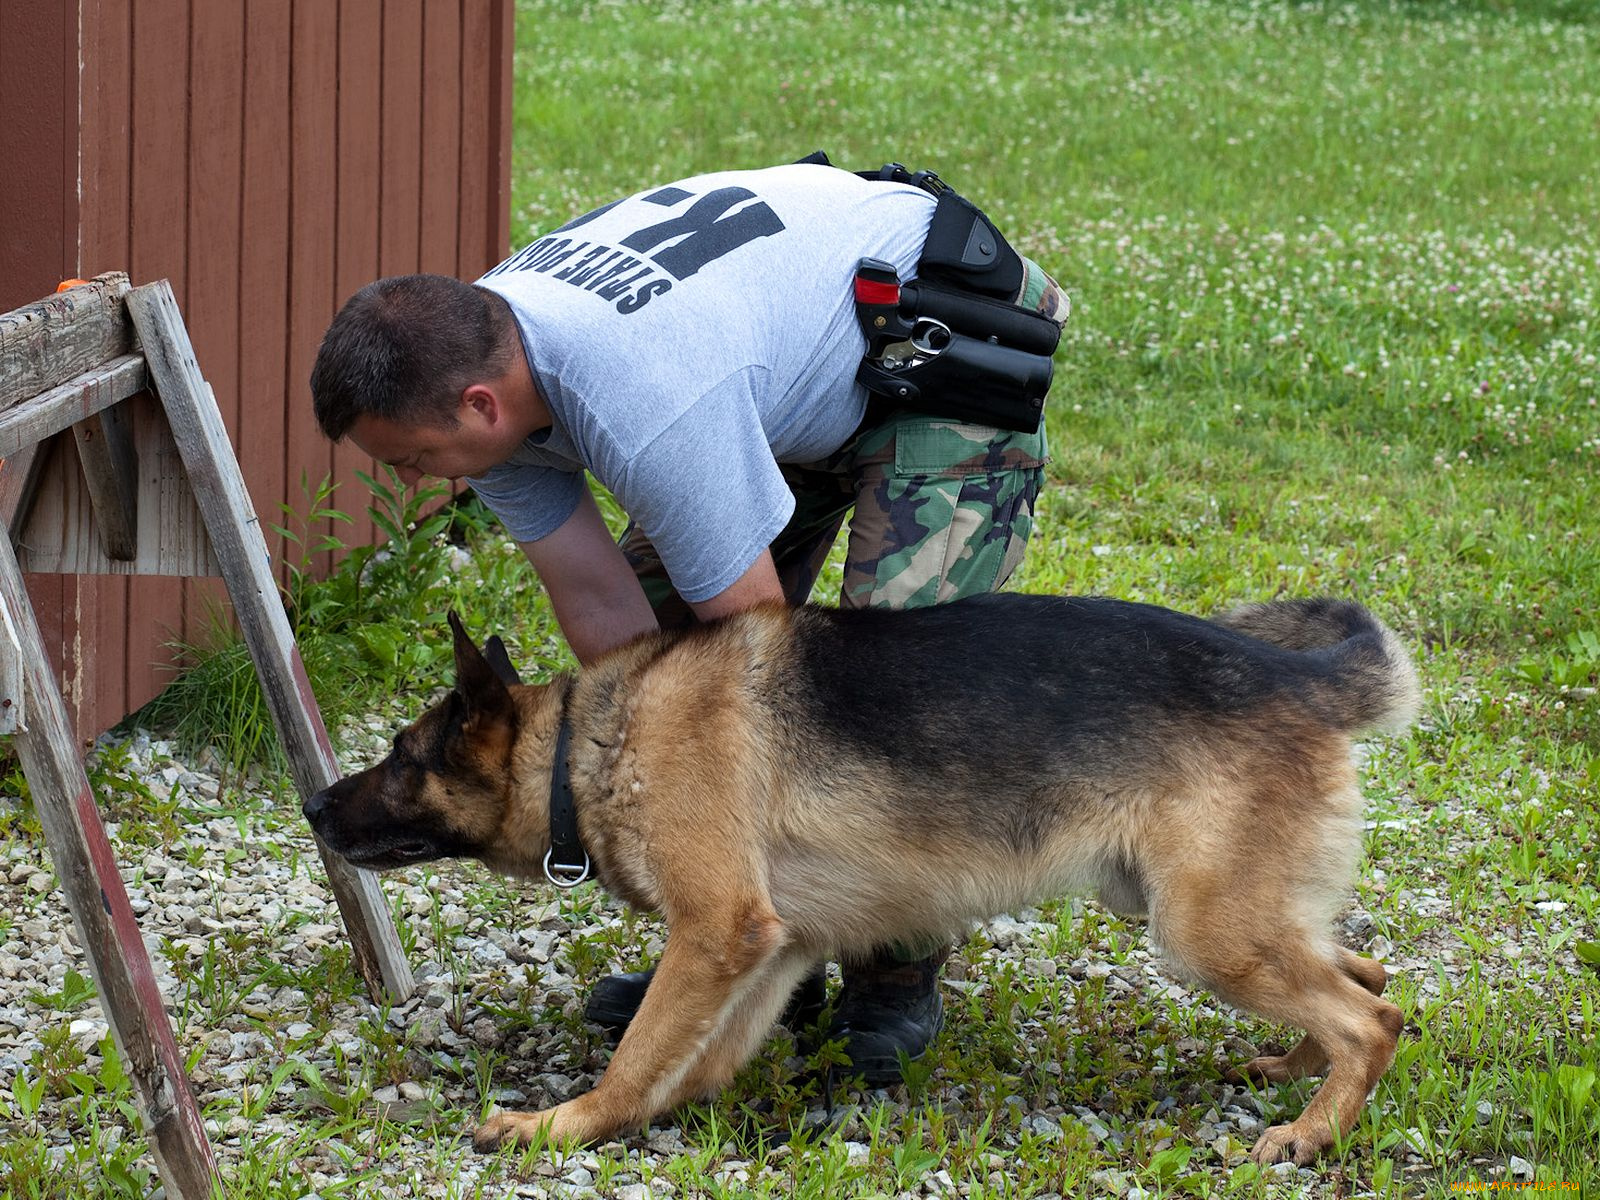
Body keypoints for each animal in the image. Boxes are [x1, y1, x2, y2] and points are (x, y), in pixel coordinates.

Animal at [305, 598, 1420, 1171]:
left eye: (401, 755)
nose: (312, 804)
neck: (590, 742)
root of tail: (1298, 679)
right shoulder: (769, 947)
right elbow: (693, 1058)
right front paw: (660, 1113)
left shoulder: (715, 931)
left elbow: (639, 1053)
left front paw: (567, 1125)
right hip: (1198, 913)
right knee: (1365, 976)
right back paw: (1294, 1069)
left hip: (1200, 932)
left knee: (1371, 1019)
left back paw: (1310, 1131)